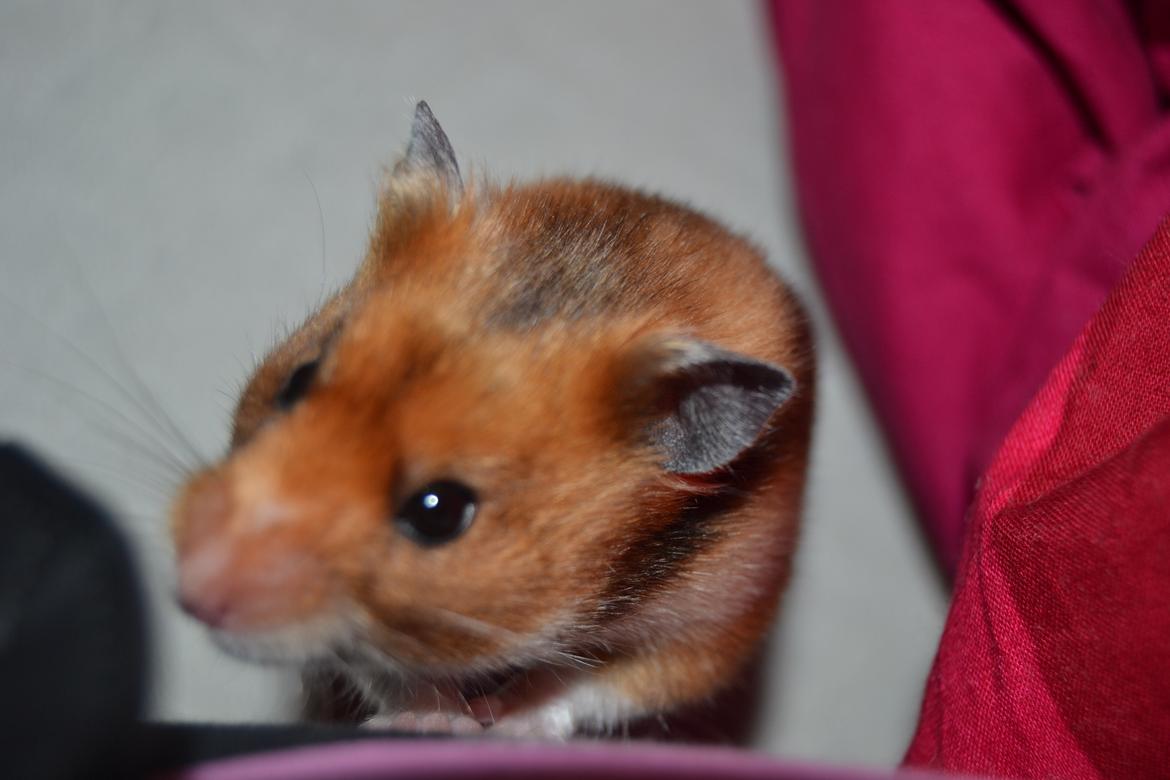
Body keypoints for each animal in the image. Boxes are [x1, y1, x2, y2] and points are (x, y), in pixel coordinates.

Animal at [172, 102, 814, 738]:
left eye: (440, 512)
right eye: (298, 381)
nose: (189, 589)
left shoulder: (715, 624)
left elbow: (585, 685)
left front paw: (496, 722)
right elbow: (392, 672)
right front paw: (425, 720)